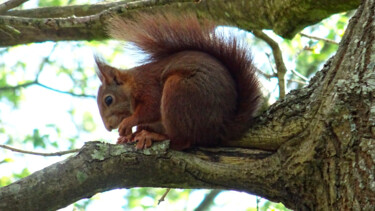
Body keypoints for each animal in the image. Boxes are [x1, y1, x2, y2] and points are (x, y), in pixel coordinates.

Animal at [96, 13, 262, 150]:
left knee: (182, 141)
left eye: (108, 100)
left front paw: (128, 123)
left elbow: (151, 108)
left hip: (179, 90)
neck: (133, 84)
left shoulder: (149, 86)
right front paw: (127, 137)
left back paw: (155, 136)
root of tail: (221, 128)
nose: (108, 127)